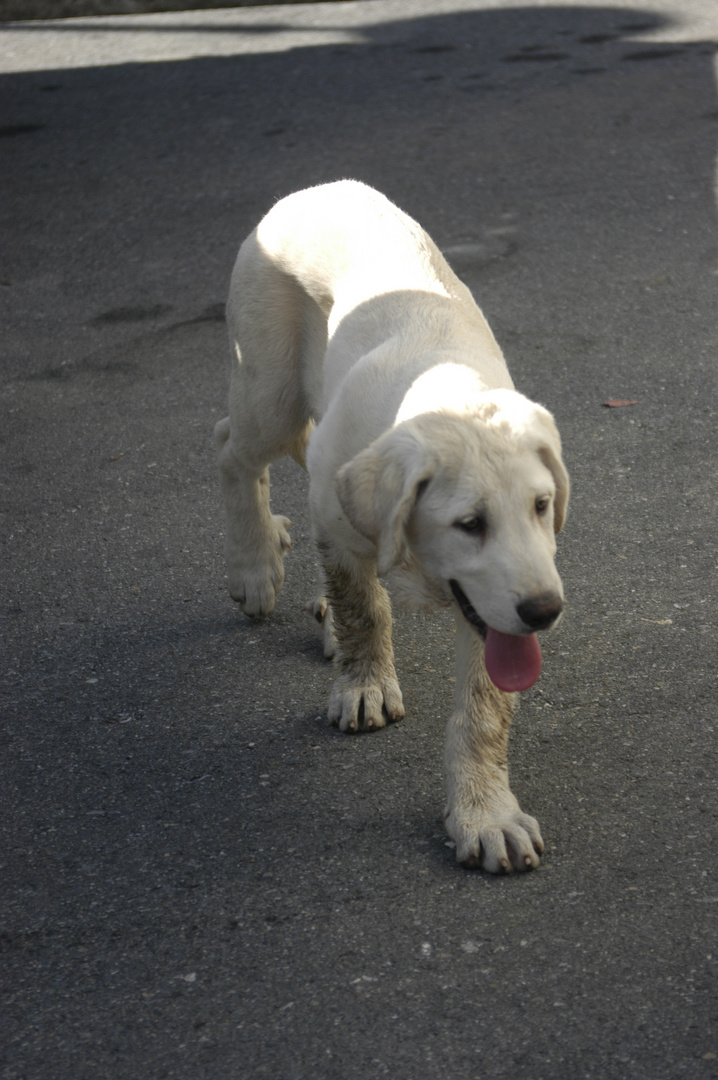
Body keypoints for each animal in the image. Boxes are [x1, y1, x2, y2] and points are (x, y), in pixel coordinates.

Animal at [215, 181, 570, 872]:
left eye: (542, 506)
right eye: (469, 523)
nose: (545, 611)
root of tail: (319, 186)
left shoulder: (492, 611)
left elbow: (484, 711)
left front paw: (484, 813)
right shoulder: (342, 519)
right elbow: (364, 606)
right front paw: (364, 686)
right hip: (270, 388)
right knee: (233, 449)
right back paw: (255, 564)